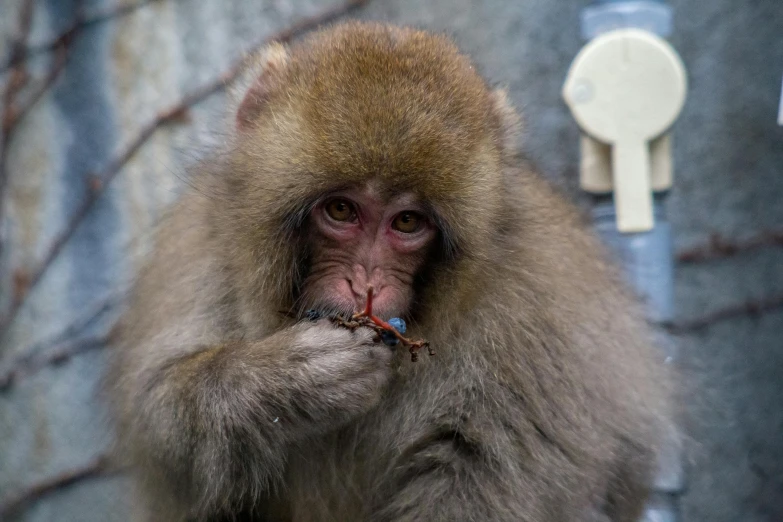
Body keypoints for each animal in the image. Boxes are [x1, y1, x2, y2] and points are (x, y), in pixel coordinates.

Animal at [107, 21, 676, 520]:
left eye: (407, 222)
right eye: (340, 210)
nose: (367, 285)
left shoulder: (533, 315)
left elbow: (478, 472)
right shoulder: (205, 242)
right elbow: (163, 420)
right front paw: (292, 379)